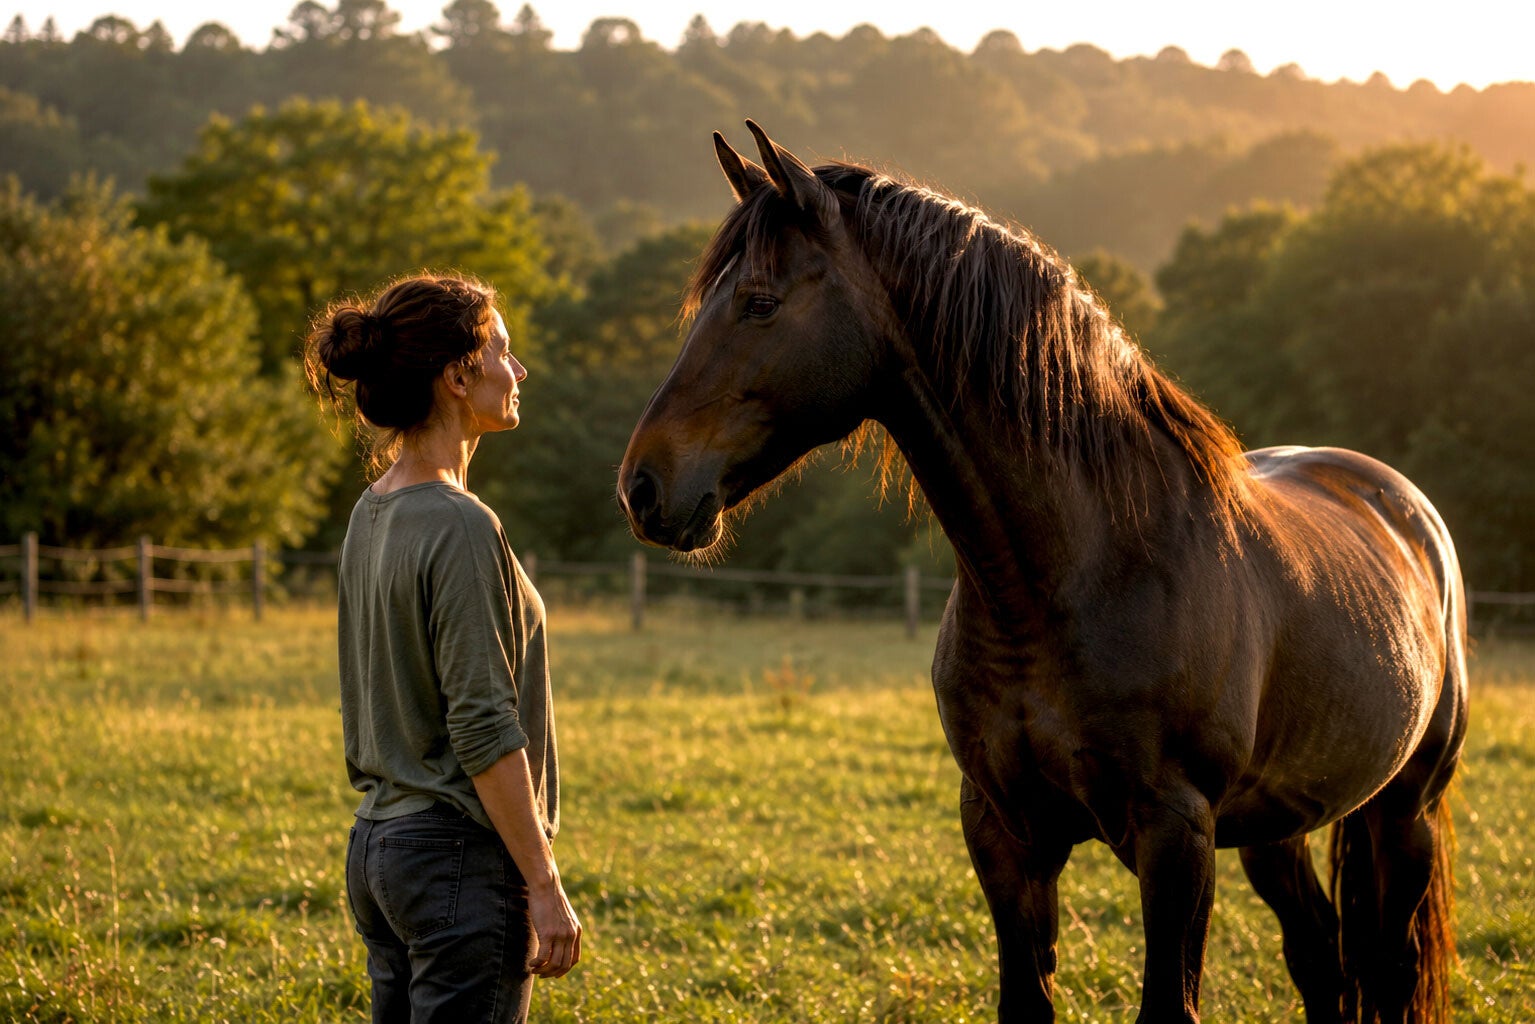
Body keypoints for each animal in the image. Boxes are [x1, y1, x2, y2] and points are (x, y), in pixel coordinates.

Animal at [617, 121, 1468, 1024]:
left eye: (760, 303)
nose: (642, 486)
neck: (1071, 578)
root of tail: (1399, 501)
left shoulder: (1175, 835)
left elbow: (1167, 1005)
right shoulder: (1003, 829)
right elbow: (1025, 998)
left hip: (1403, 815)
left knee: (1383, 967)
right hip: (1277, 827)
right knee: (1318, 956)